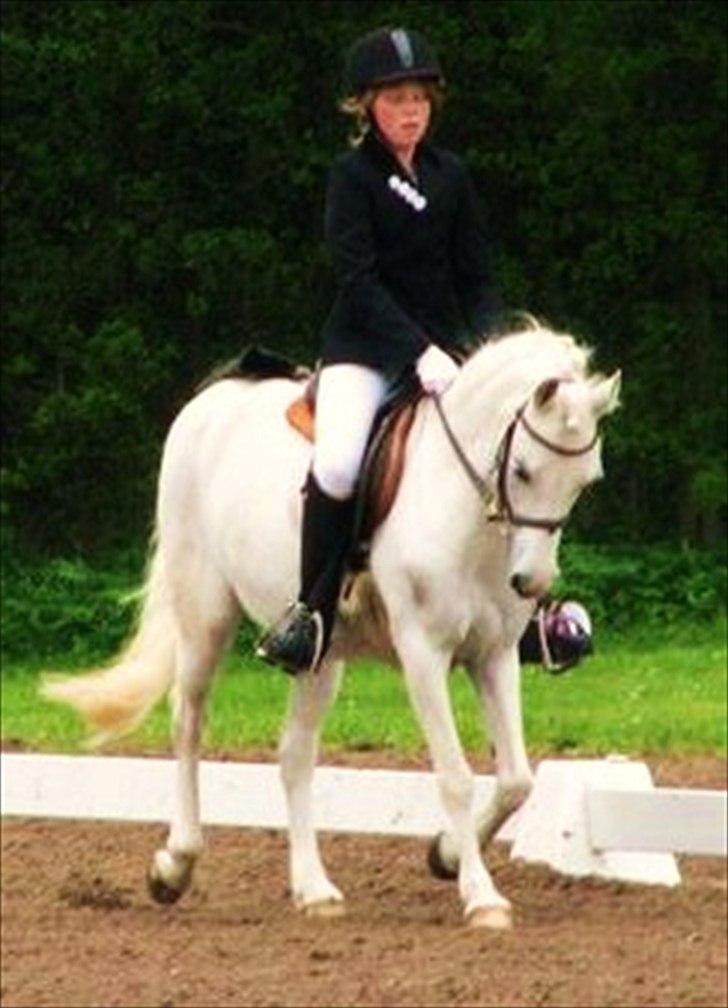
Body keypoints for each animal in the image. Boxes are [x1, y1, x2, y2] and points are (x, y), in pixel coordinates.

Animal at [42, 321, 621, 930]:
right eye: (523, 471)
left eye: (586, 481)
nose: (531, 582)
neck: (464, 515)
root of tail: (215, 396)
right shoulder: (423, 653)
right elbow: (456, 776)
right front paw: (482, 897)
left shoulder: (495, 654)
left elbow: (515, 780)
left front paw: (444, 854)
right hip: (204, 612)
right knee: (188, 723)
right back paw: (174, 867)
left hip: (323, 657)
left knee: (295, 755)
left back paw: (315, 889)